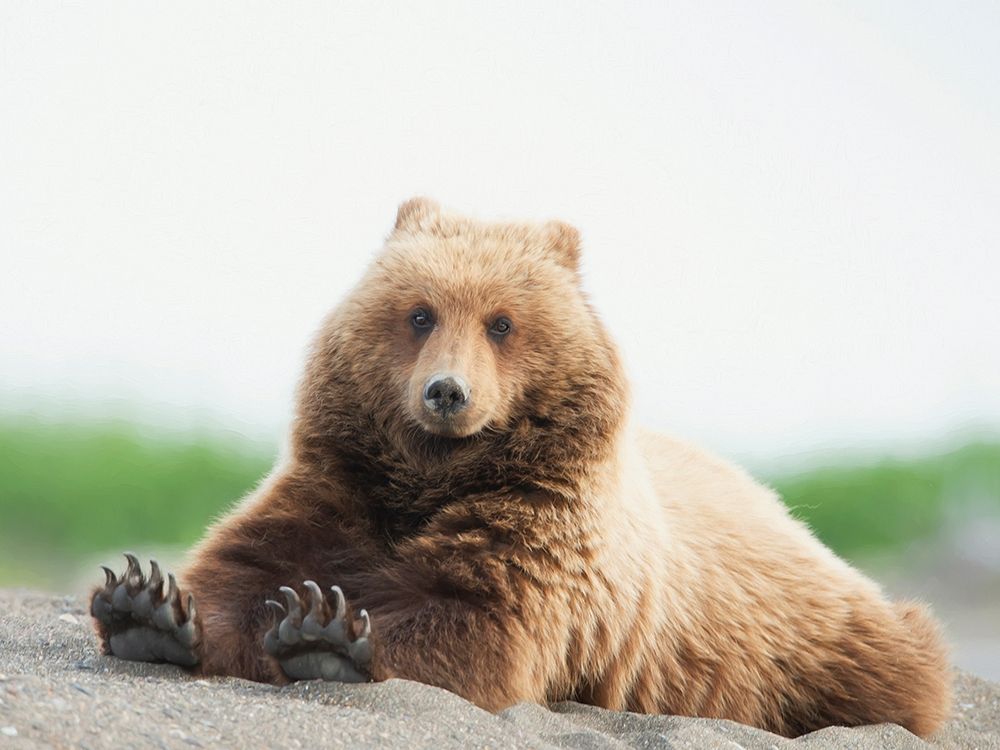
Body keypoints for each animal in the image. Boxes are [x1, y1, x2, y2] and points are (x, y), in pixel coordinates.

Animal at [91, 198, 952, 738]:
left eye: (502, 322)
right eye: (420, 313)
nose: (446, 392)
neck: (431, 476)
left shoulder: (544, 533)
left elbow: (478, 622)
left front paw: (322, 632)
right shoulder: (339, 487)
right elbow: (242, 565)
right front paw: (147, 607)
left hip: (812, 640)